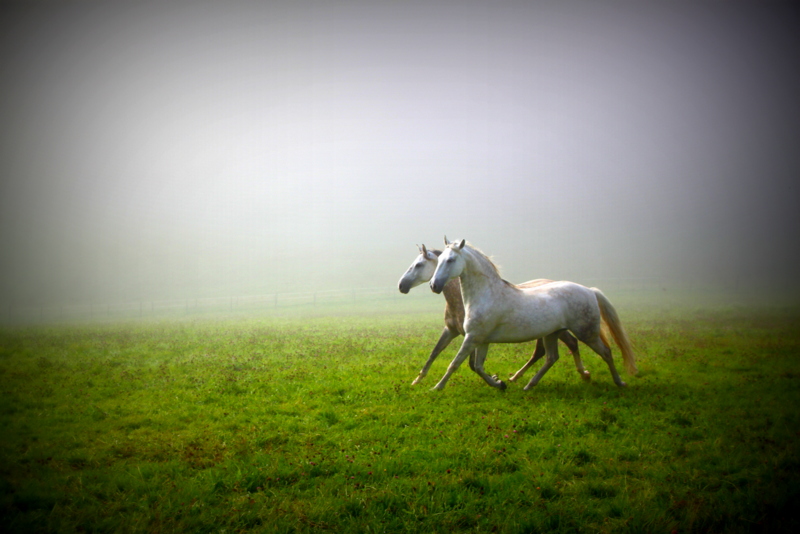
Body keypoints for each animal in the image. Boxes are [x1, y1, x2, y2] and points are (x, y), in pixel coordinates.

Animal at [398, 245, 592, 388]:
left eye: (419, 265)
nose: (401, 285)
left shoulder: (474, 336)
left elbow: (471, 364)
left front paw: (496, 381)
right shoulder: (451, 331)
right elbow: (434, 353)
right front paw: (417, 380)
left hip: (557, 330)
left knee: (570, 343)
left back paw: (584, 374)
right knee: (542, 352)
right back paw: (516, 377)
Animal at [432, 241, 636, 392]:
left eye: (450, 260)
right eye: (439, 259)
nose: (434, 285)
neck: (487, 294)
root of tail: (590, 291)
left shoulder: (472, 338)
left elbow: (455, 363)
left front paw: (436, 388)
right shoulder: (482, 340)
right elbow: (478, 367)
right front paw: (499, 383)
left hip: (587, 333)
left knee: (606, 352)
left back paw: (620, 382)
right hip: (552, 334)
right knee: (551, 358)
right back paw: (529, 385)